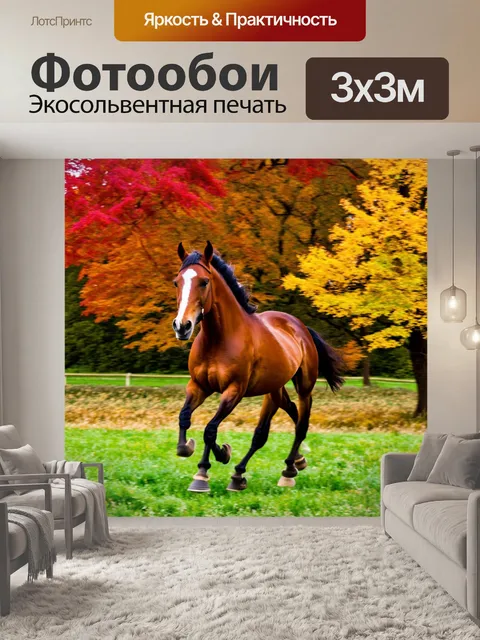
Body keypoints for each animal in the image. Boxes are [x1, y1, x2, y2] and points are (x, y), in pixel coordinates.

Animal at [172, 241, 344, 492]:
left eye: (204, 282)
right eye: (177, 282)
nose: (182, 326)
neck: (219, 338)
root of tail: (299, 326)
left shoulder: (234, 390)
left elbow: (210, 430)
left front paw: (213, 464)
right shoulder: (198, 386)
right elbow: (184, 417)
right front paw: (192, 454)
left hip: (304, 387)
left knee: (296, 426)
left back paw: (283, 472)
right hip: (274, 390)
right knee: (283, 418)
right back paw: (290, 463)